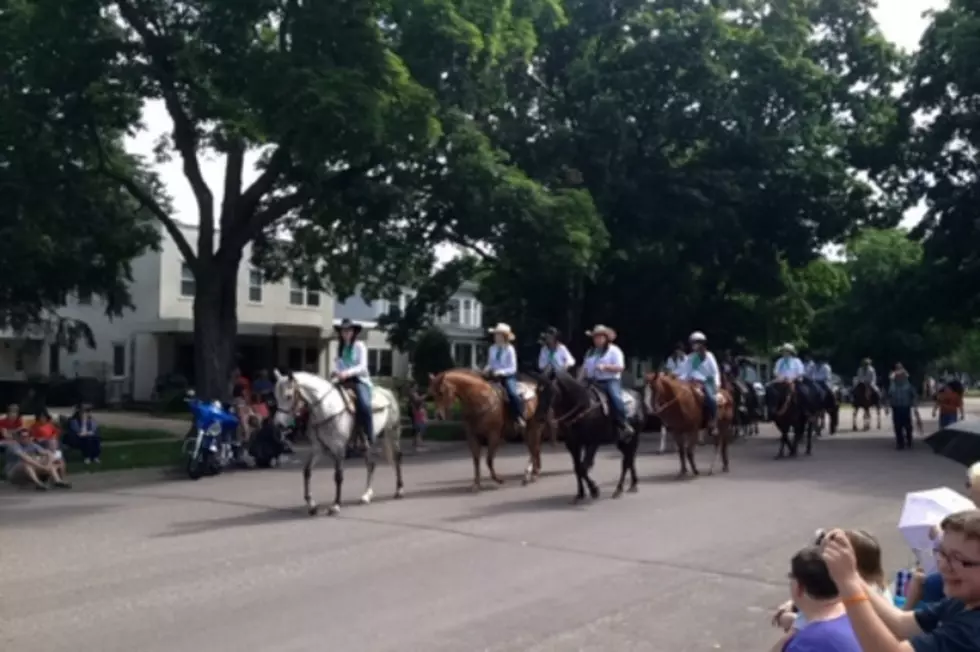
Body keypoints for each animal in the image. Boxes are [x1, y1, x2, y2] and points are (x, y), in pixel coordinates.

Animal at [270, 366, 404, 516]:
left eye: (288, 396)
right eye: (275, 396)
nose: (279, 424)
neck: (326, 409)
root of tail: (388, 392)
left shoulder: (339, 449)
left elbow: (338, 476)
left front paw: (335, 505)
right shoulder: (318, 449)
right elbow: (307, 472)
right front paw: (312, 505)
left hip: (392, 433)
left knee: (396, 458)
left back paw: (399, 490)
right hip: (366, 443)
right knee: (371, 465)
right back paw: (366, 495)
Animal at [532, 370, 640, 502]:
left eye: (550, 390)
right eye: (537, 391)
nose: (539, 417)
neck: (583, 408)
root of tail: (636, 395)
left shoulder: (592, 443)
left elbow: (583, 467)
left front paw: (594, 490)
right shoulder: (573, 445)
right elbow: (577, 468)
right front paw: (580, 494)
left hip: (633, 438)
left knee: (626, 462)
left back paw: (619, 490)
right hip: (622, 441)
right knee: (630, 459)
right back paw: (633, 484)